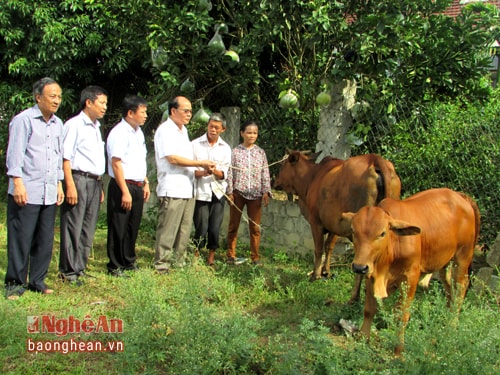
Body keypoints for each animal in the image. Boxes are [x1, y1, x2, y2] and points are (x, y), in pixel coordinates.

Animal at [274, 150, 402, 302]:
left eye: (282, 165)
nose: (273, 182)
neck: (311, 178)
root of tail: (374, 159)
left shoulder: (316, 222)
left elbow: (319, 249)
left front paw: (315, 275)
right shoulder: (335, 224)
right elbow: (329, 247)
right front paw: (326, 272)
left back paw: (354, 296)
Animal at [342, 189, 478, 354]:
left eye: (382, 233)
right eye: (353, 231)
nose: (359, 267)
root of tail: (462, 196)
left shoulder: (411, 278)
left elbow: (402, 315)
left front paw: (398, 349)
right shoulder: (370, 274)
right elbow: (369, 309)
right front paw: (362, 338)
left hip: (463, 256)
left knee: (460, 287)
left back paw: (452, 325)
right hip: (444, 262)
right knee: (448, 286)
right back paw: (445, 316)